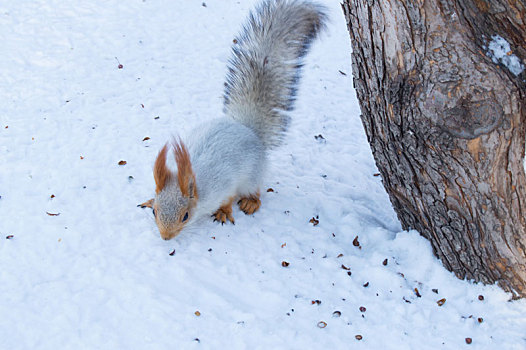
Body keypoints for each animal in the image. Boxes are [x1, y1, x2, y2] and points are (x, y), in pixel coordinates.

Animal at [138, 0, 328, 241]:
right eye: (155, 211)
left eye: (185, 216)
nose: (166, 237)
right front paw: (149, 198)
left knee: (255, 189)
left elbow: (227, 198)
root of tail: (247, 129)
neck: (197, 184)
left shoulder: (225, 185)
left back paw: (251, 202)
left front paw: (223, 211)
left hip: (252, 174)